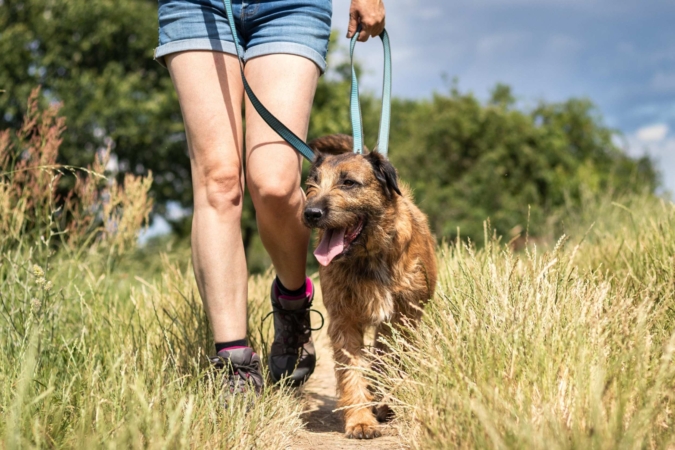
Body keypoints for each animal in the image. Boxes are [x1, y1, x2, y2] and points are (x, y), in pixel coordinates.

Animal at [302, 134, 438, 440]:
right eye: (312, 183)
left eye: (348, 183)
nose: (311, 213)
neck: (369, 256)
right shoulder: (344, 320)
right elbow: (352, 370)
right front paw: (361, 421)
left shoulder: (402, 318)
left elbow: (390, 360)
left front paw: (384, 403)